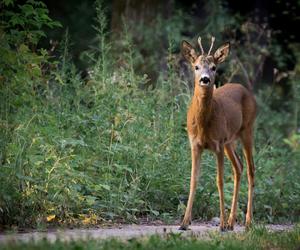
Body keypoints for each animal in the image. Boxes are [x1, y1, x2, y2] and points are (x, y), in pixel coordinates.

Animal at [179, 36, 256, 230]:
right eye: (196, 67)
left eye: (214, 67)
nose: (205, 79)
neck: (203, 125)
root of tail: (246, 90)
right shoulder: (195, 144)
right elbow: (193, 179)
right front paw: (184, 222)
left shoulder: (218, 144)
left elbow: (219, 181)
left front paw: (220, 223)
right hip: (230, 141)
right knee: (239, 167)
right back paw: (231, 222)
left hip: (247, 130)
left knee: (251, 169)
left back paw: (247, 221)